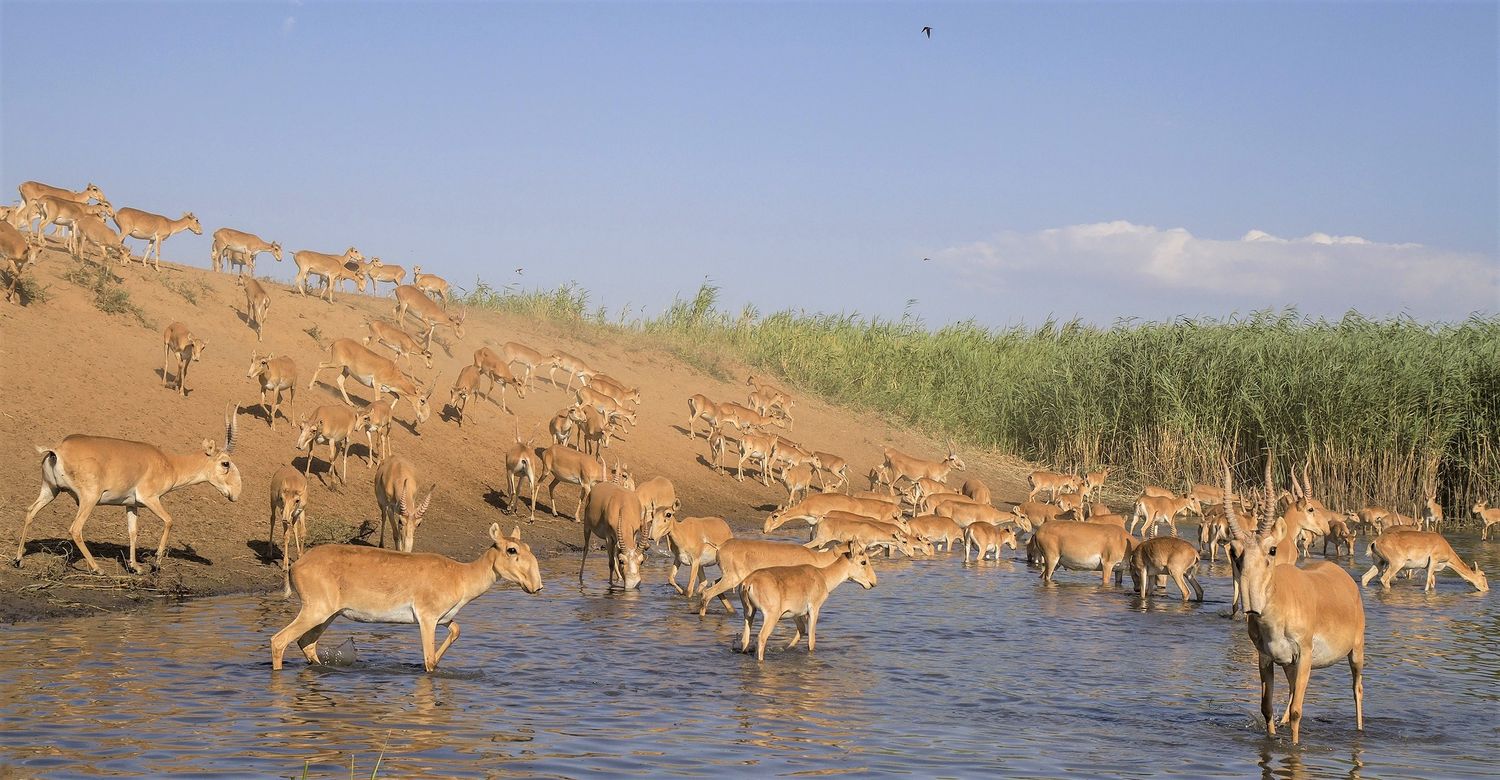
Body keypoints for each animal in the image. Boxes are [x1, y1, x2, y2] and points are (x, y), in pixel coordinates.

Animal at [15, 411, 243, 576]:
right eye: (225, 463)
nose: (235, 494)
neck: (169, 463)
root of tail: (57, 449)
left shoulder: (131, 504)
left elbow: (133, 532)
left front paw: (135, 567)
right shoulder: (150, 498)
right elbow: (169, 521)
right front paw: (155, 565)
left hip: (50, 490)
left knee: (30, 512)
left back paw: (18, 560)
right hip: (89, 499)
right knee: (75, 529)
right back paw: (97, 568)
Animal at [273, 525, 543, 669]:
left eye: (528, 547)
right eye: (511, 550)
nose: (537, 586)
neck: (461, 575)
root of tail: (295, 566)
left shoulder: (445, 619)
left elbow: (456, 632)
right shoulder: (427, 617)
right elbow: (429, 661)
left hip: (328, 615)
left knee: (306, 643)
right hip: (315, 610)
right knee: (279, 641)